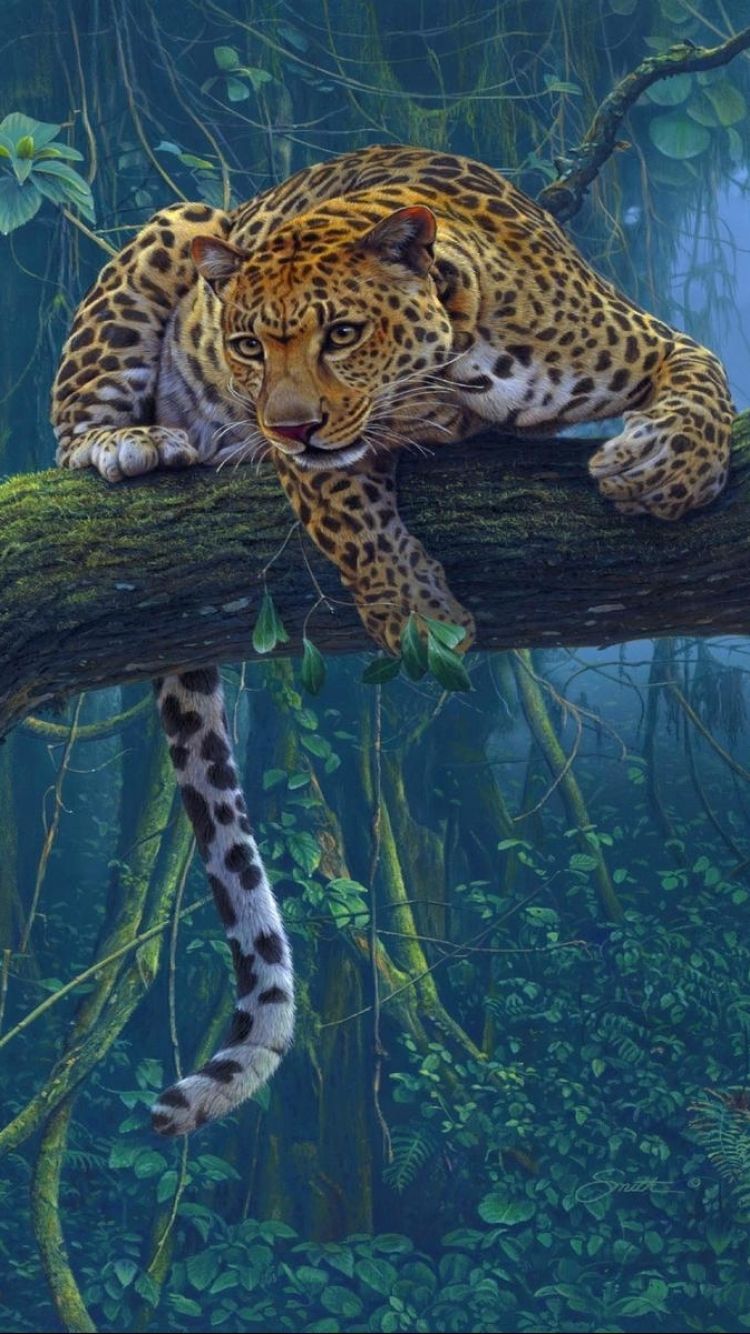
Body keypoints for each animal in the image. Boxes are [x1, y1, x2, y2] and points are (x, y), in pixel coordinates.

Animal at [51, 144, 734, 1135]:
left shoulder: (645, 339)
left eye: (341, 333)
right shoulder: (315, 463)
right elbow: (348, 510)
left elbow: (707, 376)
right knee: (71, 430)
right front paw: (418, 615)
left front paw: (663, 470)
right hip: (179, 223)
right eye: (246, 345)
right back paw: (130, 442)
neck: (465, 361)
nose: (286, 424)